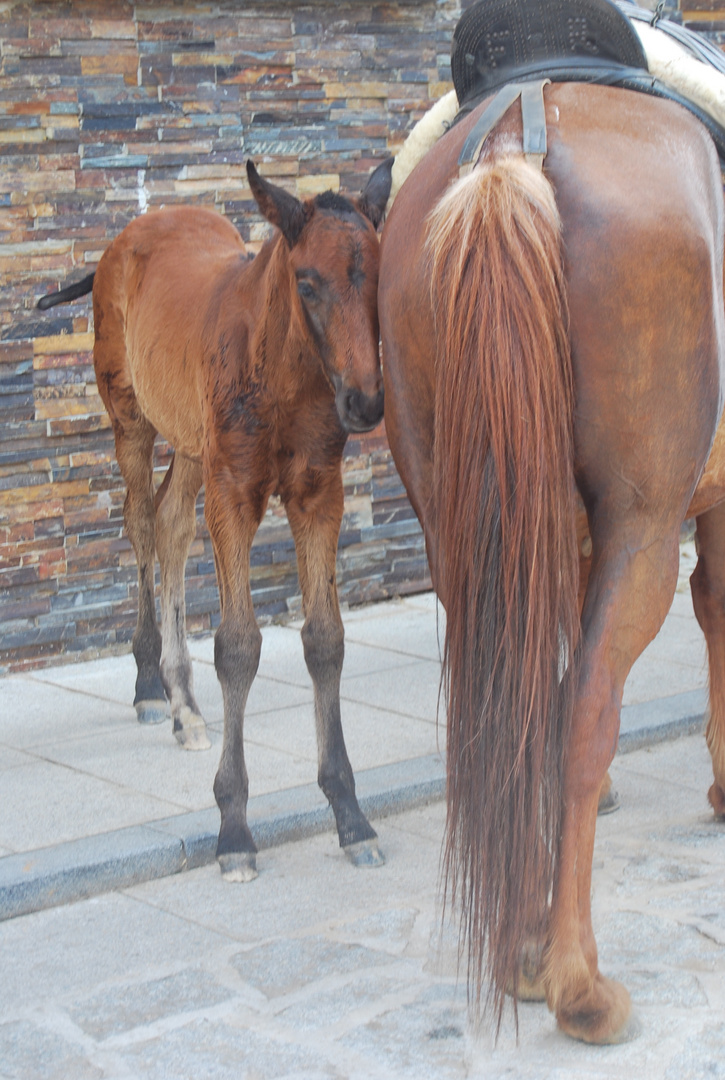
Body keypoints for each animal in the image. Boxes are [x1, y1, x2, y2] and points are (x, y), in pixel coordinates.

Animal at [36, 162, 393, 885]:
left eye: (373, 274)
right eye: (306, 283)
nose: (364, 402)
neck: (284, 374)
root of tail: (126, 237)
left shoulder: (319, 494)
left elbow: (324, 640)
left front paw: (350, 815)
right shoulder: (234, 494)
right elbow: (237, 645)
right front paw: (233, 829)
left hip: (192, 444)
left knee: (171, 525)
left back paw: (185, 706)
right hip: (131, 419)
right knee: (141, 523)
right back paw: (151, 687)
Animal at [380, 86, 725, 1045]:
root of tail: (512, 140)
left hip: (467, 535)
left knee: (516, 714)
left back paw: (522, 945)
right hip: (641, 530)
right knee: (581, 719)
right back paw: (573, 978)